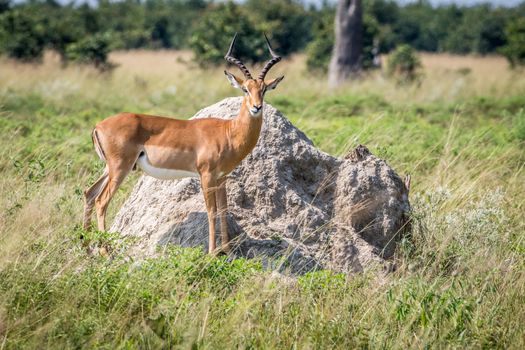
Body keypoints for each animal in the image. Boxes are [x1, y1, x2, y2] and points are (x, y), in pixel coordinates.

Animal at [82, 34, 282, 253]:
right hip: (120, 168)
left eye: (264, 90)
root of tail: (98, 125)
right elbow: (211, 211)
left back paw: (86, 248)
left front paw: (227, 251)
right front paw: (212, 253)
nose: (257, 107)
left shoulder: (221, 177)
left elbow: (224, 210)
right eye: (245, 89)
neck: (228, 132)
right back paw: (105, 252)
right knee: (101, 201)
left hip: (109, 168)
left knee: (89, 193)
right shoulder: (206, 176)